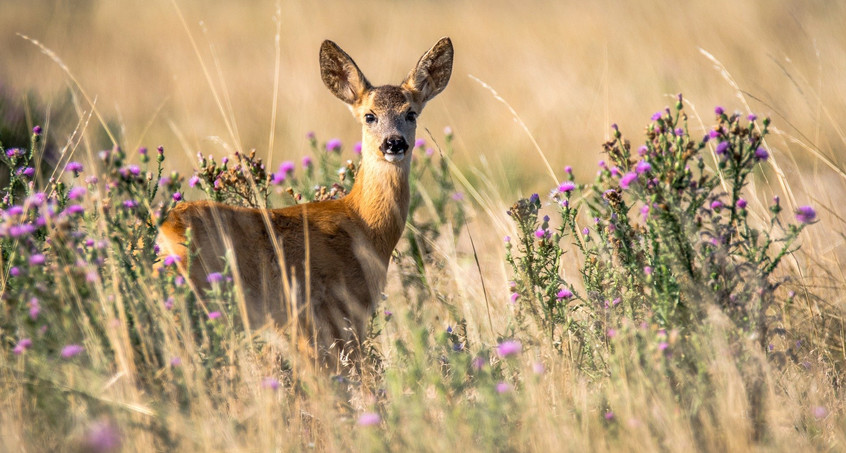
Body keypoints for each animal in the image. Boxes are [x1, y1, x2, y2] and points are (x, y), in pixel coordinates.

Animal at [156, 37, 454, 366]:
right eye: (369, 115)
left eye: (411, 113)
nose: (394, 143)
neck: (363, 225)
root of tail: (166, 229)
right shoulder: (335, 311)